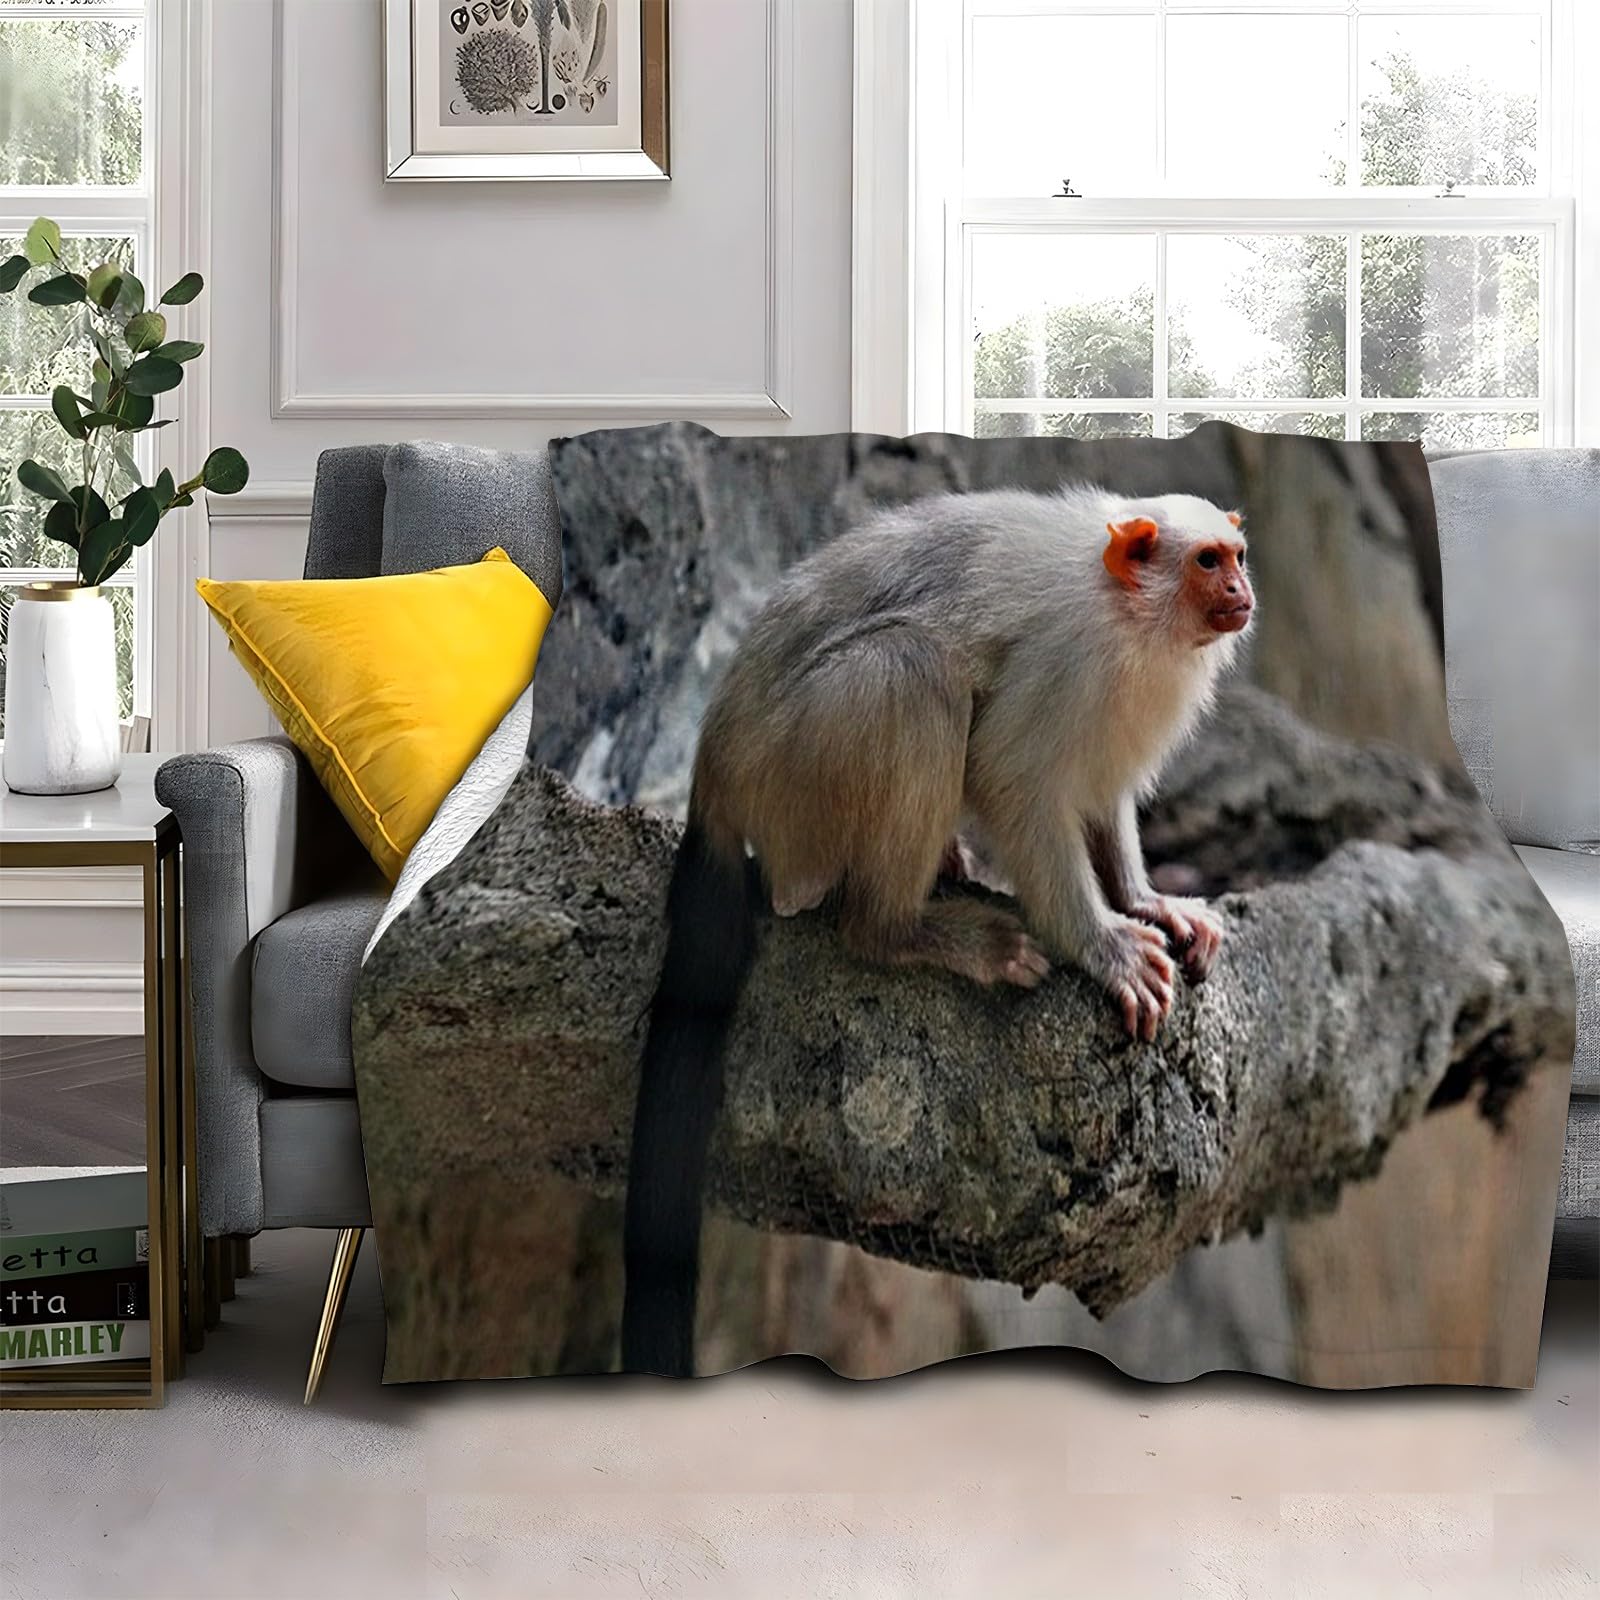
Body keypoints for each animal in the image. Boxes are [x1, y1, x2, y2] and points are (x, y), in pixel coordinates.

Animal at [621, 485, 1254, 1375]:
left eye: (1237, 558)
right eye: (1206, 562)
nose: (1240, 592)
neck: (1131, 615)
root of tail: (716, 780)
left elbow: (1101, 795)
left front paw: (1145, 902)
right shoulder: (1070, 664)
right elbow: (1011, 776)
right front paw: (1099, 945)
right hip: (796, 780)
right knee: (912, 672)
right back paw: (902, 929)